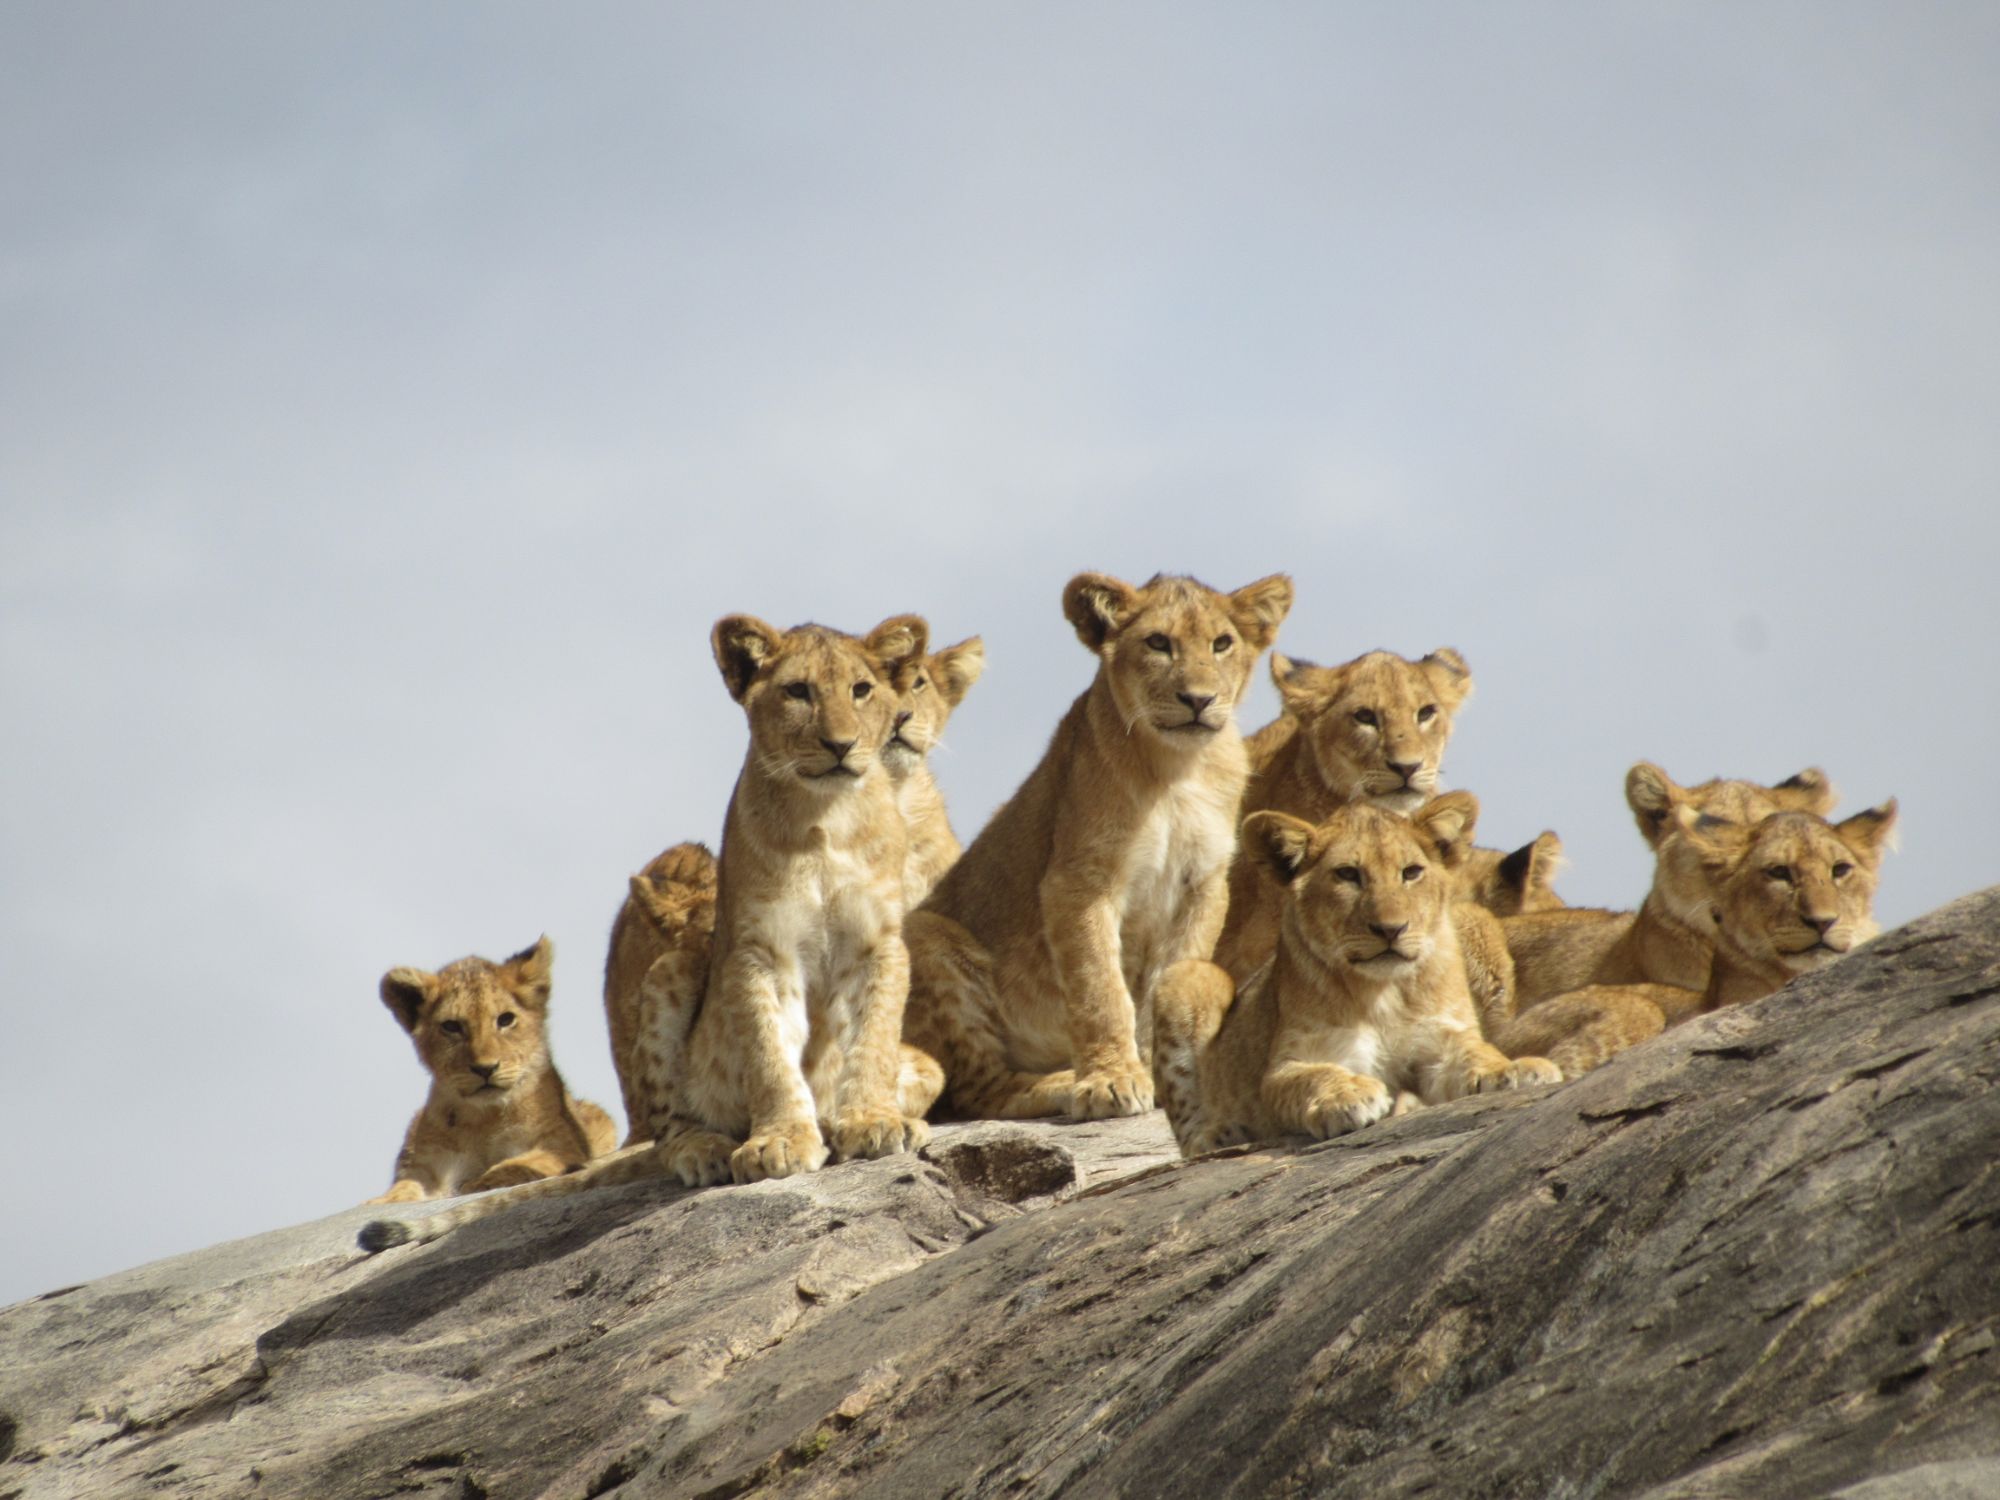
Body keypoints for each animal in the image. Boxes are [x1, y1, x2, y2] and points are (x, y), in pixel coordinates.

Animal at [368, 936, 617, 1203]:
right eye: (451, 1026)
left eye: (505, 1019)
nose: (485, 1069)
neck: (484, 1118)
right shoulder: (431, 1169)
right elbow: (404, 1187)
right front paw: (381, 1200)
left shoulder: (560, 1145)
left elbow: (519, 1164)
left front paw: (480, 1182)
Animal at [901, 571, 1294, 1122]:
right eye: (1158, 643)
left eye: (1222, 644)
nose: (1198, 699)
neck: (1177, 771)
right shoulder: (1079, 882)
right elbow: (1099, 987)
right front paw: (1110, 1080)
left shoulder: (1204, 885)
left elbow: (1172, 976)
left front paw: (1161, 1072)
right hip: (921, 935)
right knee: (975, 1092)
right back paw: (1062, 1083)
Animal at [1153, 794, 1560, 1158]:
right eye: (1348, 874)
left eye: (1411, 872)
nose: (1391, 929)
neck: (1385, 992)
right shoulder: (1290, 1064)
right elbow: (1315, 1077)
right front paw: (1347, 1098)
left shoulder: (1441, 1044)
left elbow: (1477, 1054)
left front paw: (1514, 1069)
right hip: (1189, 975)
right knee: (1190, 1137)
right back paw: (1221, 1135)